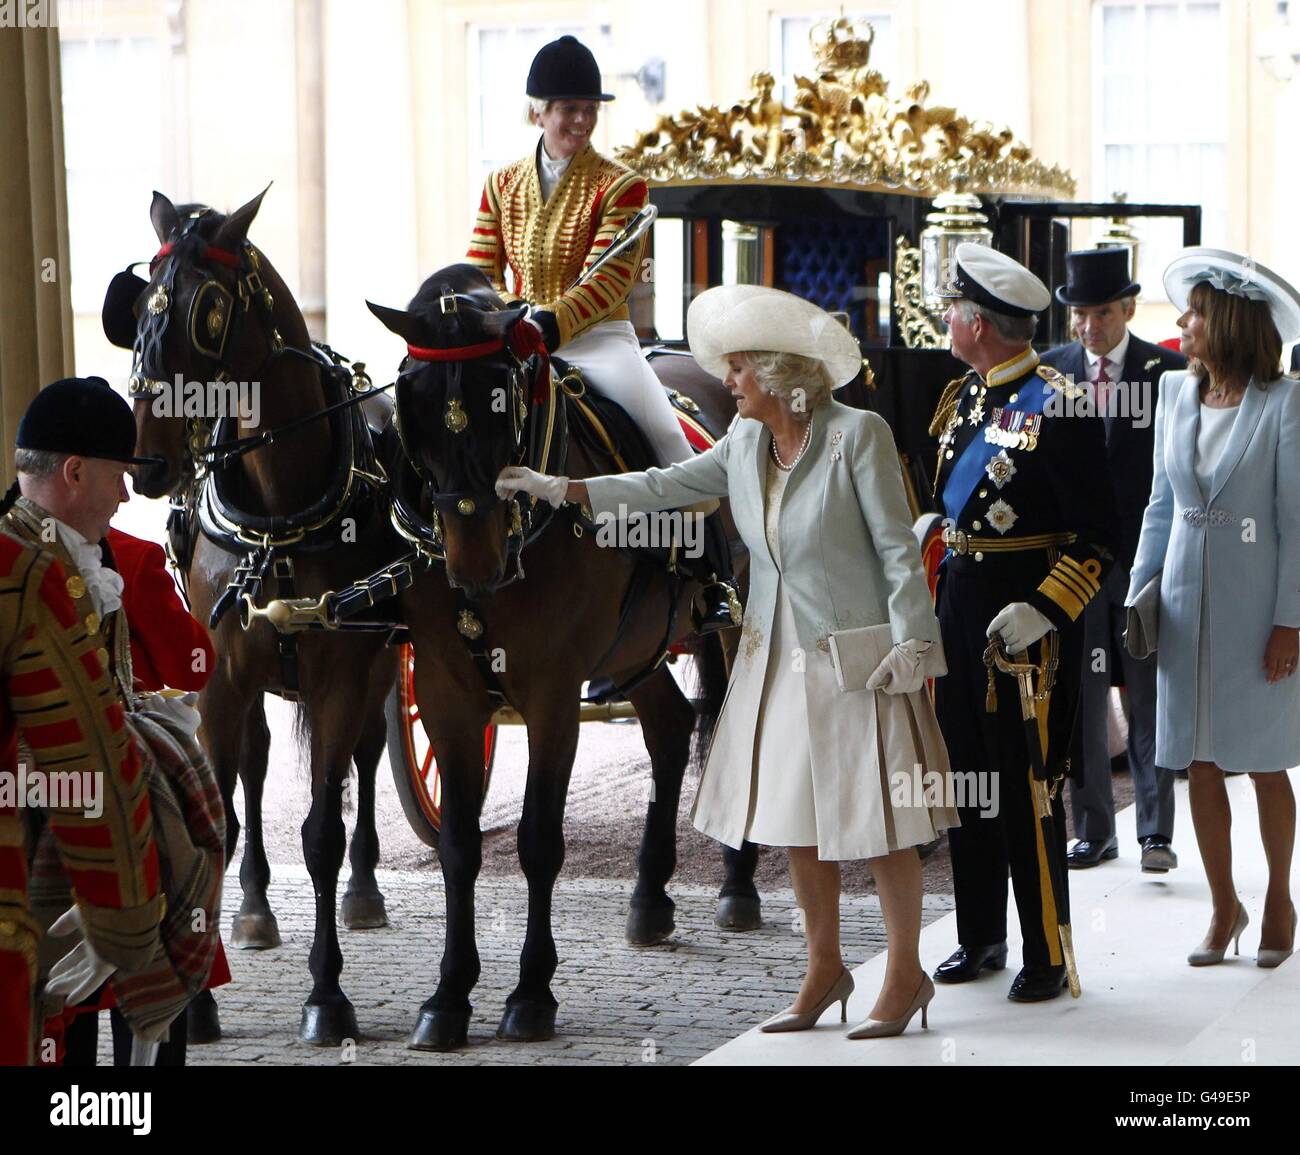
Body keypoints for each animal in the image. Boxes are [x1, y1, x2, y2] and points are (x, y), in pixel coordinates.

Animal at [103, 189, 400, 1045]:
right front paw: (199, 1001)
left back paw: (364, 890)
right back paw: (258, 905)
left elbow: (324, 831)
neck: (277, 513)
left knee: (367, 758)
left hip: (378, 666)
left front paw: (327, 994)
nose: (148, 458)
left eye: (207, 310)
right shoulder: (222, 676)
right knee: (259, 767)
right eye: (140, 303)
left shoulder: (342, 673)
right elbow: (223, 821)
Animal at [369, 264, 759, 1045]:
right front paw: (448, 996)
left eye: (503, 400)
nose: (475, 561)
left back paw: (737, 887)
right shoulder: (447, 692)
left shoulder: (553, 693)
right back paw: (649, 897)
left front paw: (530, 994)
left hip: (737, 620)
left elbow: (539, 840)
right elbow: (459, 844)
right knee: (671, 727)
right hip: (636, 648)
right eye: (412, 405)